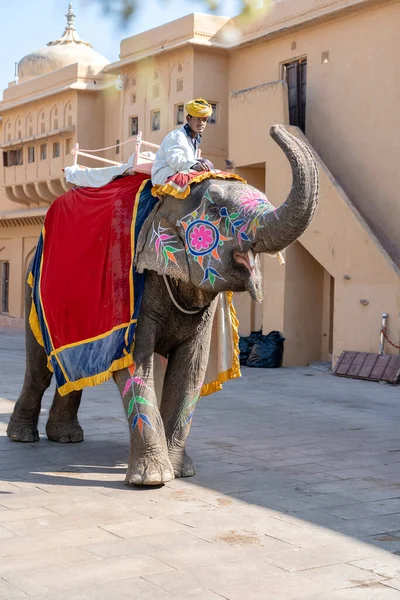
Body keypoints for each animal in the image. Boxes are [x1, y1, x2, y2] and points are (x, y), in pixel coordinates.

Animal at [6, 126, 318, 488]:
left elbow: (191, 369)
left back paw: (67, 438)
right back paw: (23, 437)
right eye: (218, 211)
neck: (167, 200)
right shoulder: (132, 289)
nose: (275, 128)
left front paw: (182, 472)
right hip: (34, 289)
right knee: (40, 367)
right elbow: (136, 364)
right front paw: (152, 479)